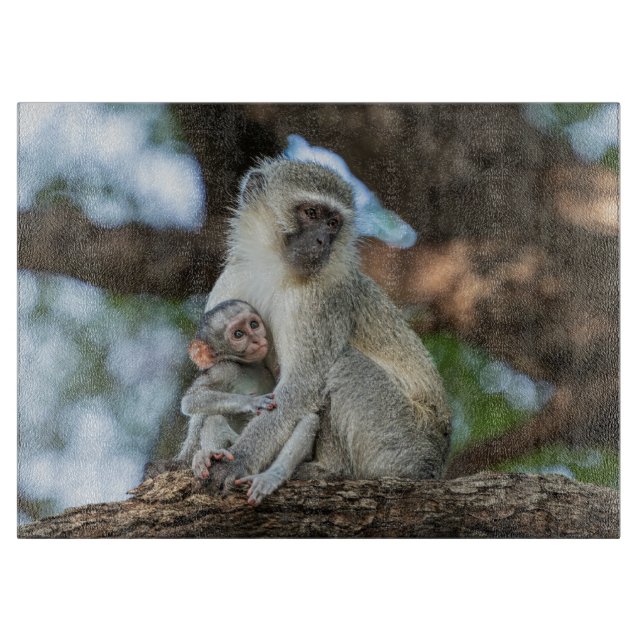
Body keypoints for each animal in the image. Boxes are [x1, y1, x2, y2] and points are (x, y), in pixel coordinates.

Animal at [203, 158, 452, 494]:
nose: (322, 241)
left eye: (333, 223)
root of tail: (436, 463)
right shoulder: (230, 282)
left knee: (343, 365)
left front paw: (239, 460)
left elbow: (303, 384)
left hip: (402, 441)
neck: (274, 268)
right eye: (311, 213)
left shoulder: (322, 298)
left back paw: (329, 470)